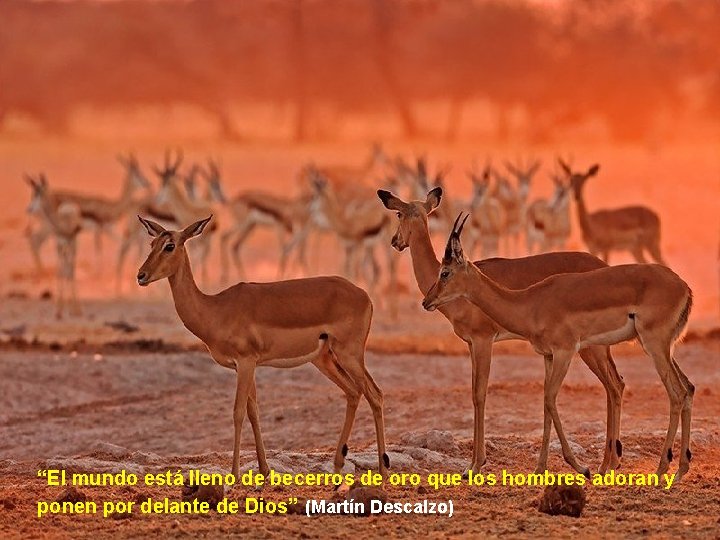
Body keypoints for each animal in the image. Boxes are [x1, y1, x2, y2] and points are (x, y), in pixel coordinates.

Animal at [25, 174, 82, 316]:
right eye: (32, 194)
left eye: (39, 194)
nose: (29, 209)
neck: (63, 224)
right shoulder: (58, 244)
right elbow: (60, 271)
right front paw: (59, 310)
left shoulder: (72, 243)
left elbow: (70, 272)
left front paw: (76, 309)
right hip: (62, 248)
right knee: (64, 268)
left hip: (72, 246)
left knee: (69, 268)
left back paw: (73, 308)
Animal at [135, 215, 388, 476]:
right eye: (152, 243)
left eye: (170, 246)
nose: (141, 276)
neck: (215, 309)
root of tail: (364, 295)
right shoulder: (245, 366)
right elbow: (253, 411)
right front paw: (264, 469)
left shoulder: (246, 362)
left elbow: (237, 412)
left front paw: (235, 473)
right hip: (325, 359)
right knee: (354, 392)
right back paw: (339, 464)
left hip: (349, 355)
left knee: (374, 394)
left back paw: (382, 469)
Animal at [424, 213, 696, 478]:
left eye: (445, 272)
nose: (427, 301)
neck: (531, 302)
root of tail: (684, 286)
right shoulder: (548, 355)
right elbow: (546, 401)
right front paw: (540, 468)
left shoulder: (565, 352)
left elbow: (550, 398)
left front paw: (581, 467)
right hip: (661, 348)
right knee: (687, 388)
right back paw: (678, 468)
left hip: (653, 346)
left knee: (675, 393)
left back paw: (661, 470)